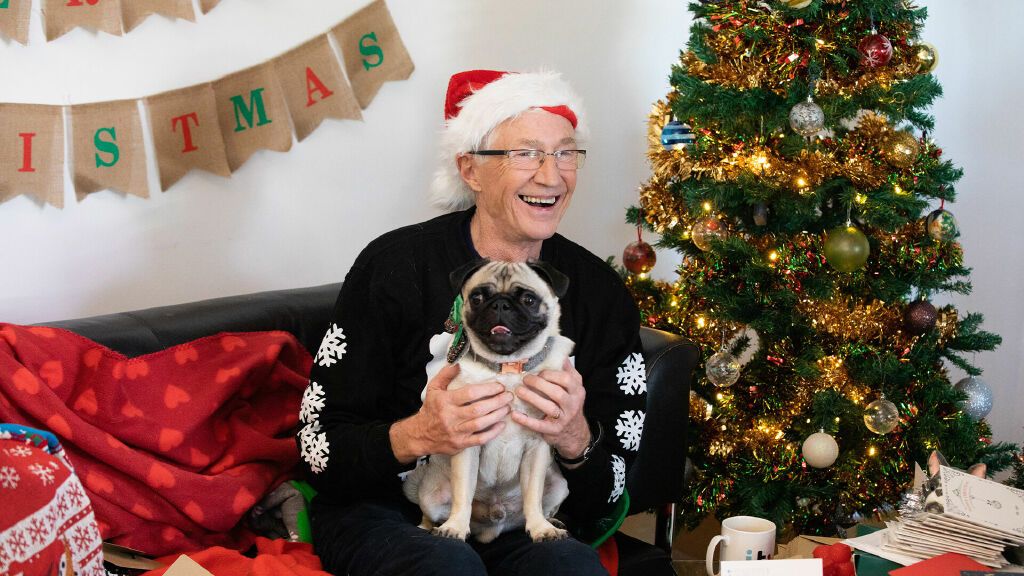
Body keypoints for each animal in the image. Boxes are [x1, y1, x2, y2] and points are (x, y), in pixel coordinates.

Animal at [401, 260, 577, 541]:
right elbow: (463, 493)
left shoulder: (537, 447)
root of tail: (492, 525)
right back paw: (431, 527)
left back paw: (551, 522)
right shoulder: (468, 443)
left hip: (559, 484)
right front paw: (455, 527)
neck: (508, 369)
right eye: (477, 298)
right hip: (430, 494)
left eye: (529, 300)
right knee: (429, 510)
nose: (500, 304)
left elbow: (534, 496)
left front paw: (540, 528)